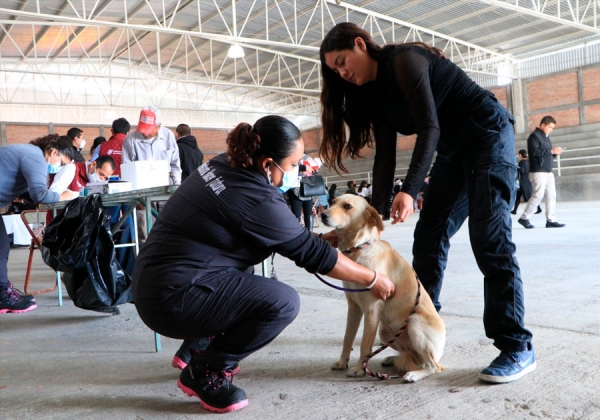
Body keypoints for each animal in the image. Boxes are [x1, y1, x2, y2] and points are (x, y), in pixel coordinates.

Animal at [324, 195, 446, 382]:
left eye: (347, 206)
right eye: (332, 202)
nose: (323, 214)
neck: (359, 249)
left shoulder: (372, 309)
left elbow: (365, 344)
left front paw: (360, 369)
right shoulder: (353, 306)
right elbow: (348, 337)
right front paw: (342, 361)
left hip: (414, 323)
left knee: (433, 366)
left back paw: (414, 374)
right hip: (384, 332)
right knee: (414, 358)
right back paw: (394, 359)